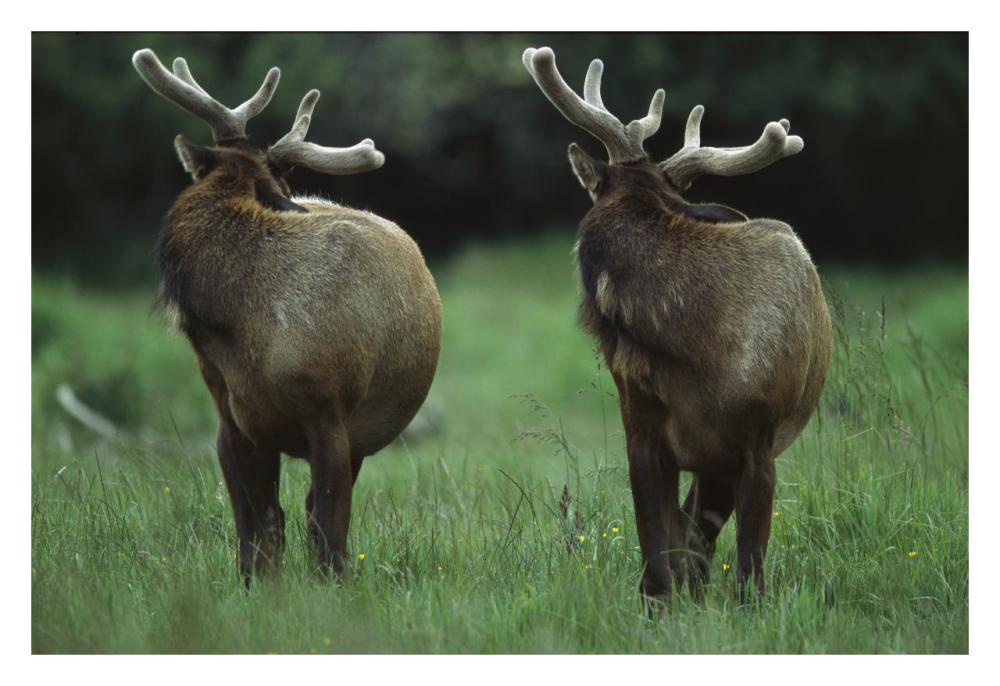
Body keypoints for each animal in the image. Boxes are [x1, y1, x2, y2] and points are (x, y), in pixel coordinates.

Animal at [132, 49, 443, 585]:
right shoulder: (231, 422)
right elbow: (255, 531)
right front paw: (258, 589)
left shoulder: (332, 413)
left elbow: (327, 526)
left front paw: (332, 589)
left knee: (315, 512)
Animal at [522, 46, 832, 604]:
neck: (696, 345)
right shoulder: (642, 430)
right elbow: (656, 564)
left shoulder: (758, 441)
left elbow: (749, 570)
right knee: (690, 540)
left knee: (701, 539)